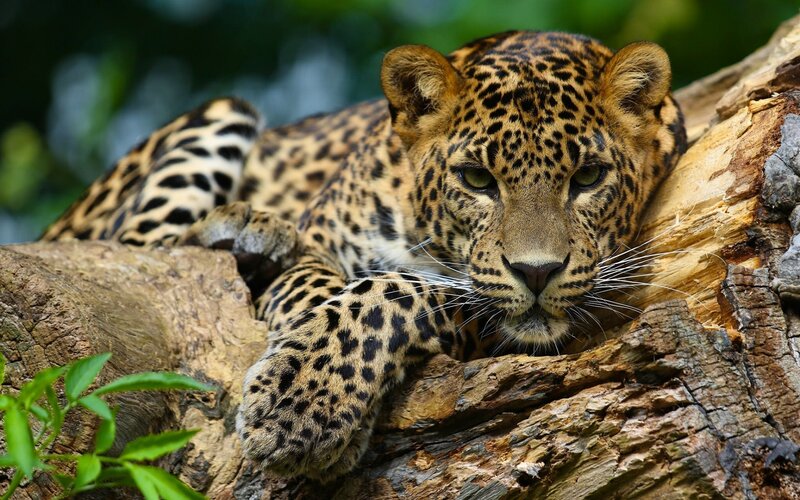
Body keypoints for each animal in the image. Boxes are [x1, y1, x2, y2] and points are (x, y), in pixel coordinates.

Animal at [41, 31, 687, 481]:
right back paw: (243, 228)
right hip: (219, 116)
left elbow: (392, 291)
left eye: (589, 177)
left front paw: (305, 407)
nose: (536, 271)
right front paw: (303, 395)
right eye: (477, 179)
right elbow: (326, 292)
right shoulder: (318, 241)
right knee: (134, 251)